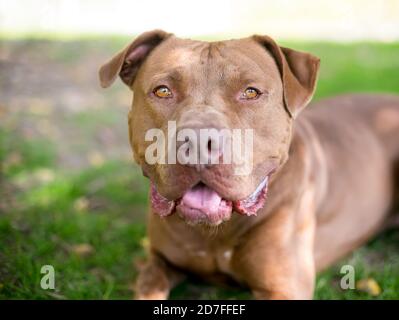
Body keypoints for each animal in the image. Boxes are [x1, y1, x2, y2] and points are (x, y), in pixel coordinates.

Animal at [97, 30, 399, 300]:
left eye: (251, 92)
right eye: (162, 91)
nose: (199, 140)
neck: (214, 233)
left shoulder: (283, 288)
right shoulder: (158, 262)